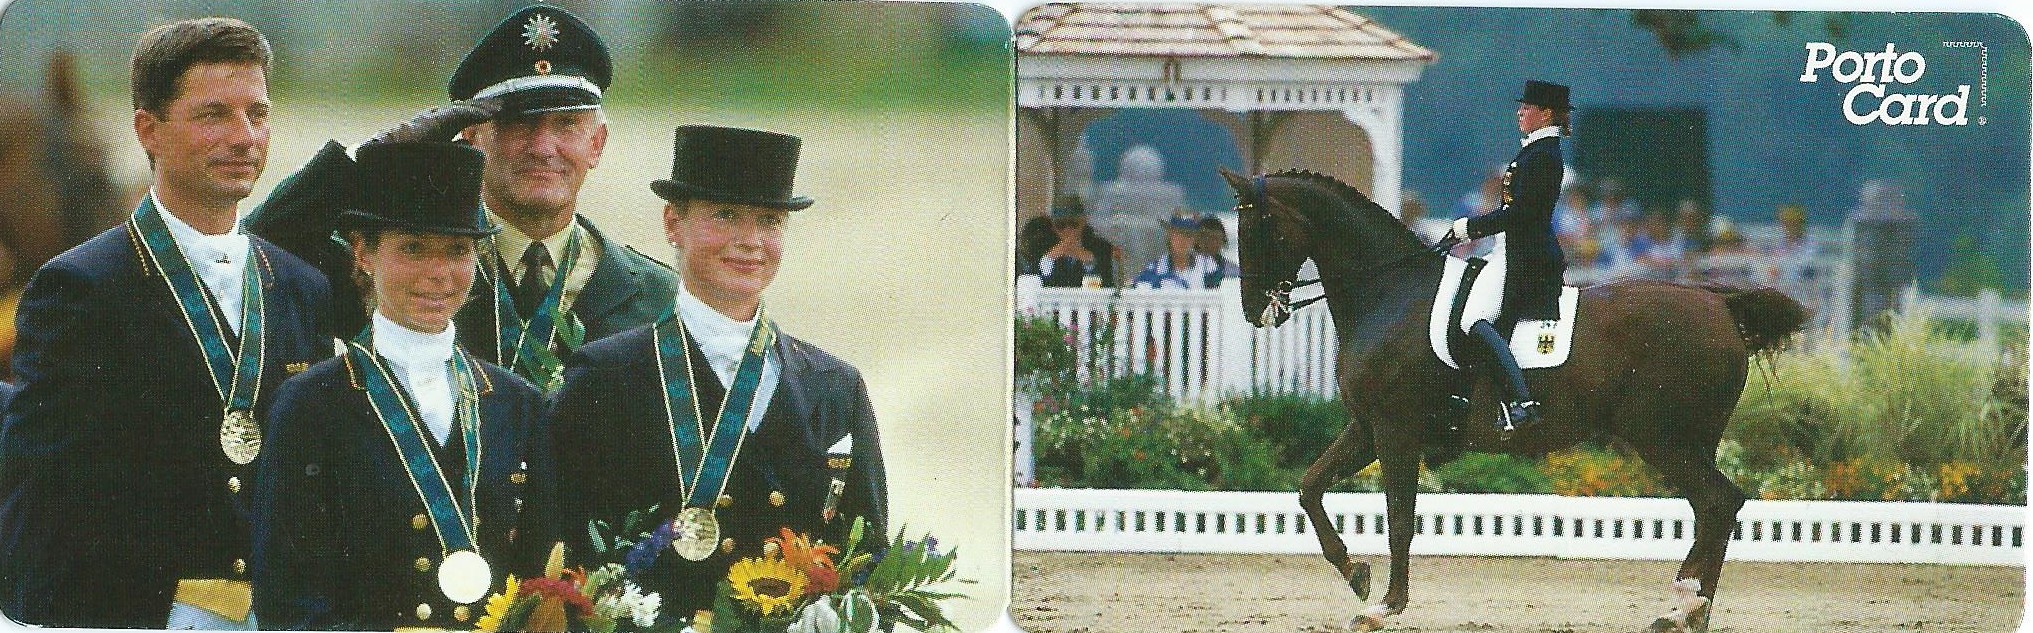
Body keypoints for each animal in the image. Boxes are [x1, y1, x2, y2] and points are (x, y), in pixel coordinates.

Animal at [1217, 168, 1807, 632]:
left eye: (1258, 227)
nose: (1255, 311)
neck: (1389, 294)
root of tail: (1721, 304)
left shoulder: (1395, 431)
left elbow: (1400, 518)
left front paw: (1384, 606)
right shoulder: (1366, 428)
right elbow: (1310, 488)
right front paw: (1357, 575)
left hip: (1663, 438)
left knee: (1716, 503)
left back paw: (1686, 606)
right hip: (1686, 440)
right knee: (1716, 507)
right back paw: (1686, 609)